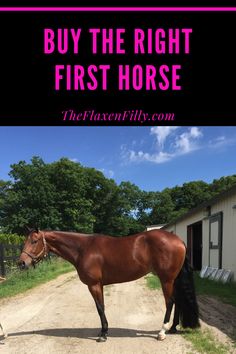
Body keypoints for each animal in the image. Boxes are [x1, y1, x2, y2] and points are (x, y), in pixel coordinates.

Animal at [18, 228, 199, 342]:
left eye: (34, 241)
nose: (21, 263)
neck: (82, 249)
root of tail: (178, 240)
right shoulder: (100, 285)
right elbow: (102, 307)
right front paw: (103, 330)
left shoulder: (94, 285)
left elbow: (99, 308)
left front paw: (103, 334)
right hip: (173, 279)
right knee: (179, 301)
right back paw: (173, 328)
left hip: (166, 279)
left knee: (170, 302)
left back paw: (162, 332)